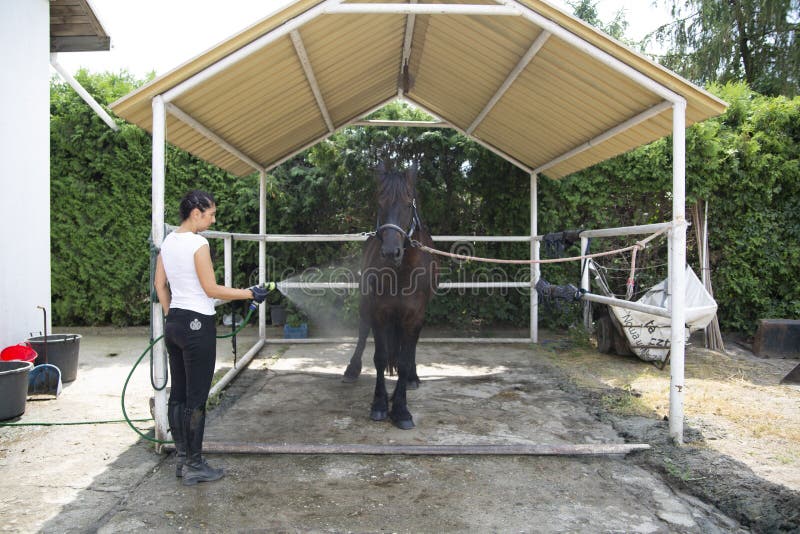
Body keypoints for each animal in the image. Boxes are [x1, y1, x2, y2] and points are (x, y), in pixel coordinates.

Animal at [342, 161, 437, 429]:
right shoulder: (379, 313)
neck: (401, 272)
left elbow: (403, 361)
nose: (390, 252)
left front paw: (401, 408)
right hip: (365, 305)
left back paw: (412, 379)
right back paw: (352, 370)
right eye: (380, 202)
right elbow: (381, 357)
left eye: (407, 203)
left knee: (410, 348)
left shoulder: (414, 316)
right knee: (363, 332)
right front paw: (380, 404)